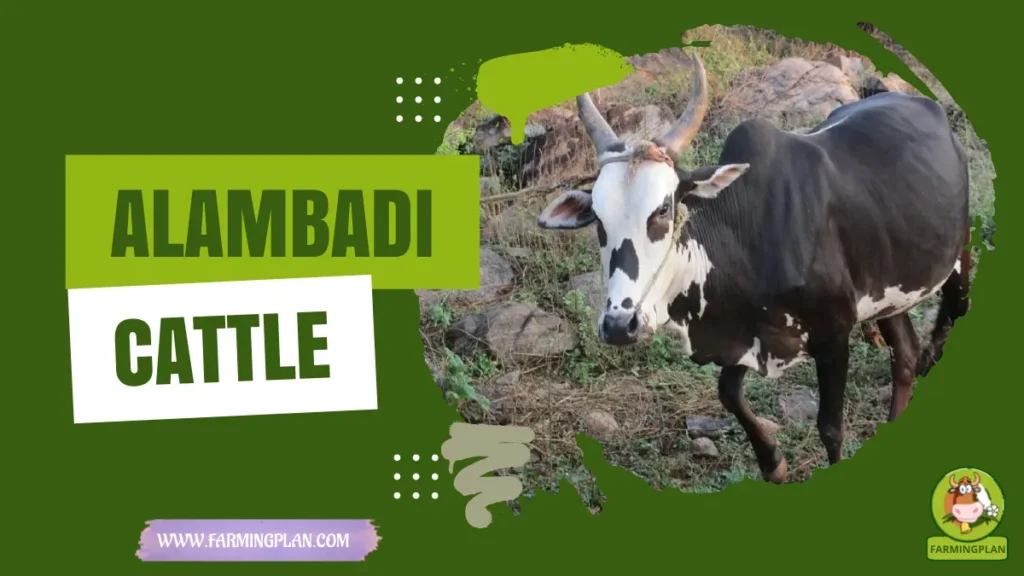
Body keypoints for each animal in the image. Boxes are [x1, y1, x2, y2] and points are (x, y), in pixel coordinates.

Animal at [535, 47, 972, 484]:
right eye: (597, 217)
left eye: (663, 208)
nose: (618, 325)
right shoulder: (746, 338)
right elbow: (729, 394)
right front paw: (773, 463)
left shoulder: (834, 335)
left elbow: (831, 427)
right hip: (890, 289)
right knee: (905, 355)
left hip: (959, 257)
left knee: (947, 320)